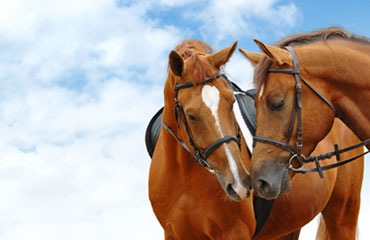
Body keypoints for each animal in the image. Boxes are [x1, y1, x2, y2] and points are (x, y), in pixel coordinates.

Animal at [148, 38, 364, 239]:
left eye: (231, 101)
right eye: (191, 115)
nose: (240, 184)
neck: (185, 173)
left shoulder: (235, 232)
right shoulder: (173, 234)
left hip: (343, 214)